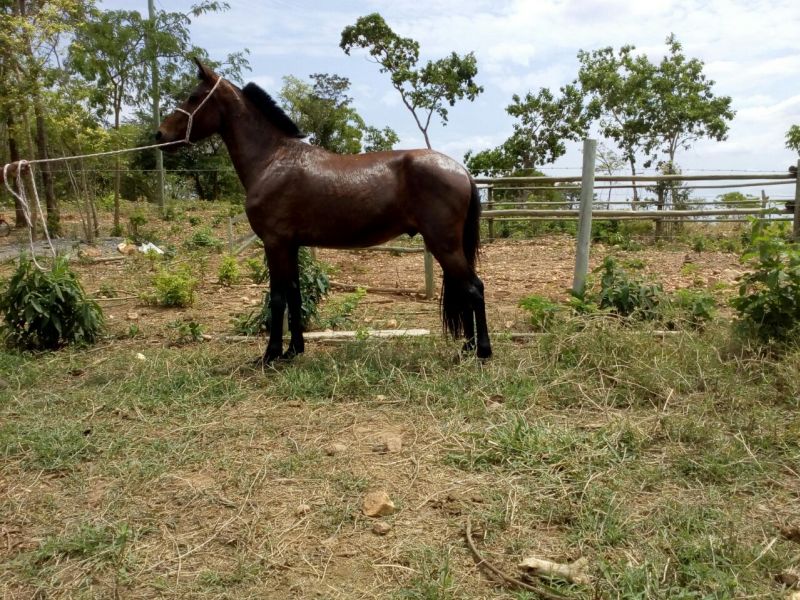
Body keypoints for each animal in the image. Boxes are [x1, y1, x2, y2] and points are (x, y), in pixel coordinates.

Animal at [157, 59, 491, 363]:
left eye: (194, 97)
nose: (159, 135)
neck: (272, 159)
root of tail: (461, 170)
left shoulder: (274, 243)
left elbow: (277, 298)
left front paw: (270, 355)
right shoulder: (290, 245)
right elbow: (294, 295)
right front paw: (293, 350)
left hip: (443, 244)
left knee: (474, 289)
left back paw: (482, 352)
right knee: (467, 290)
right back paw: (467, 349)